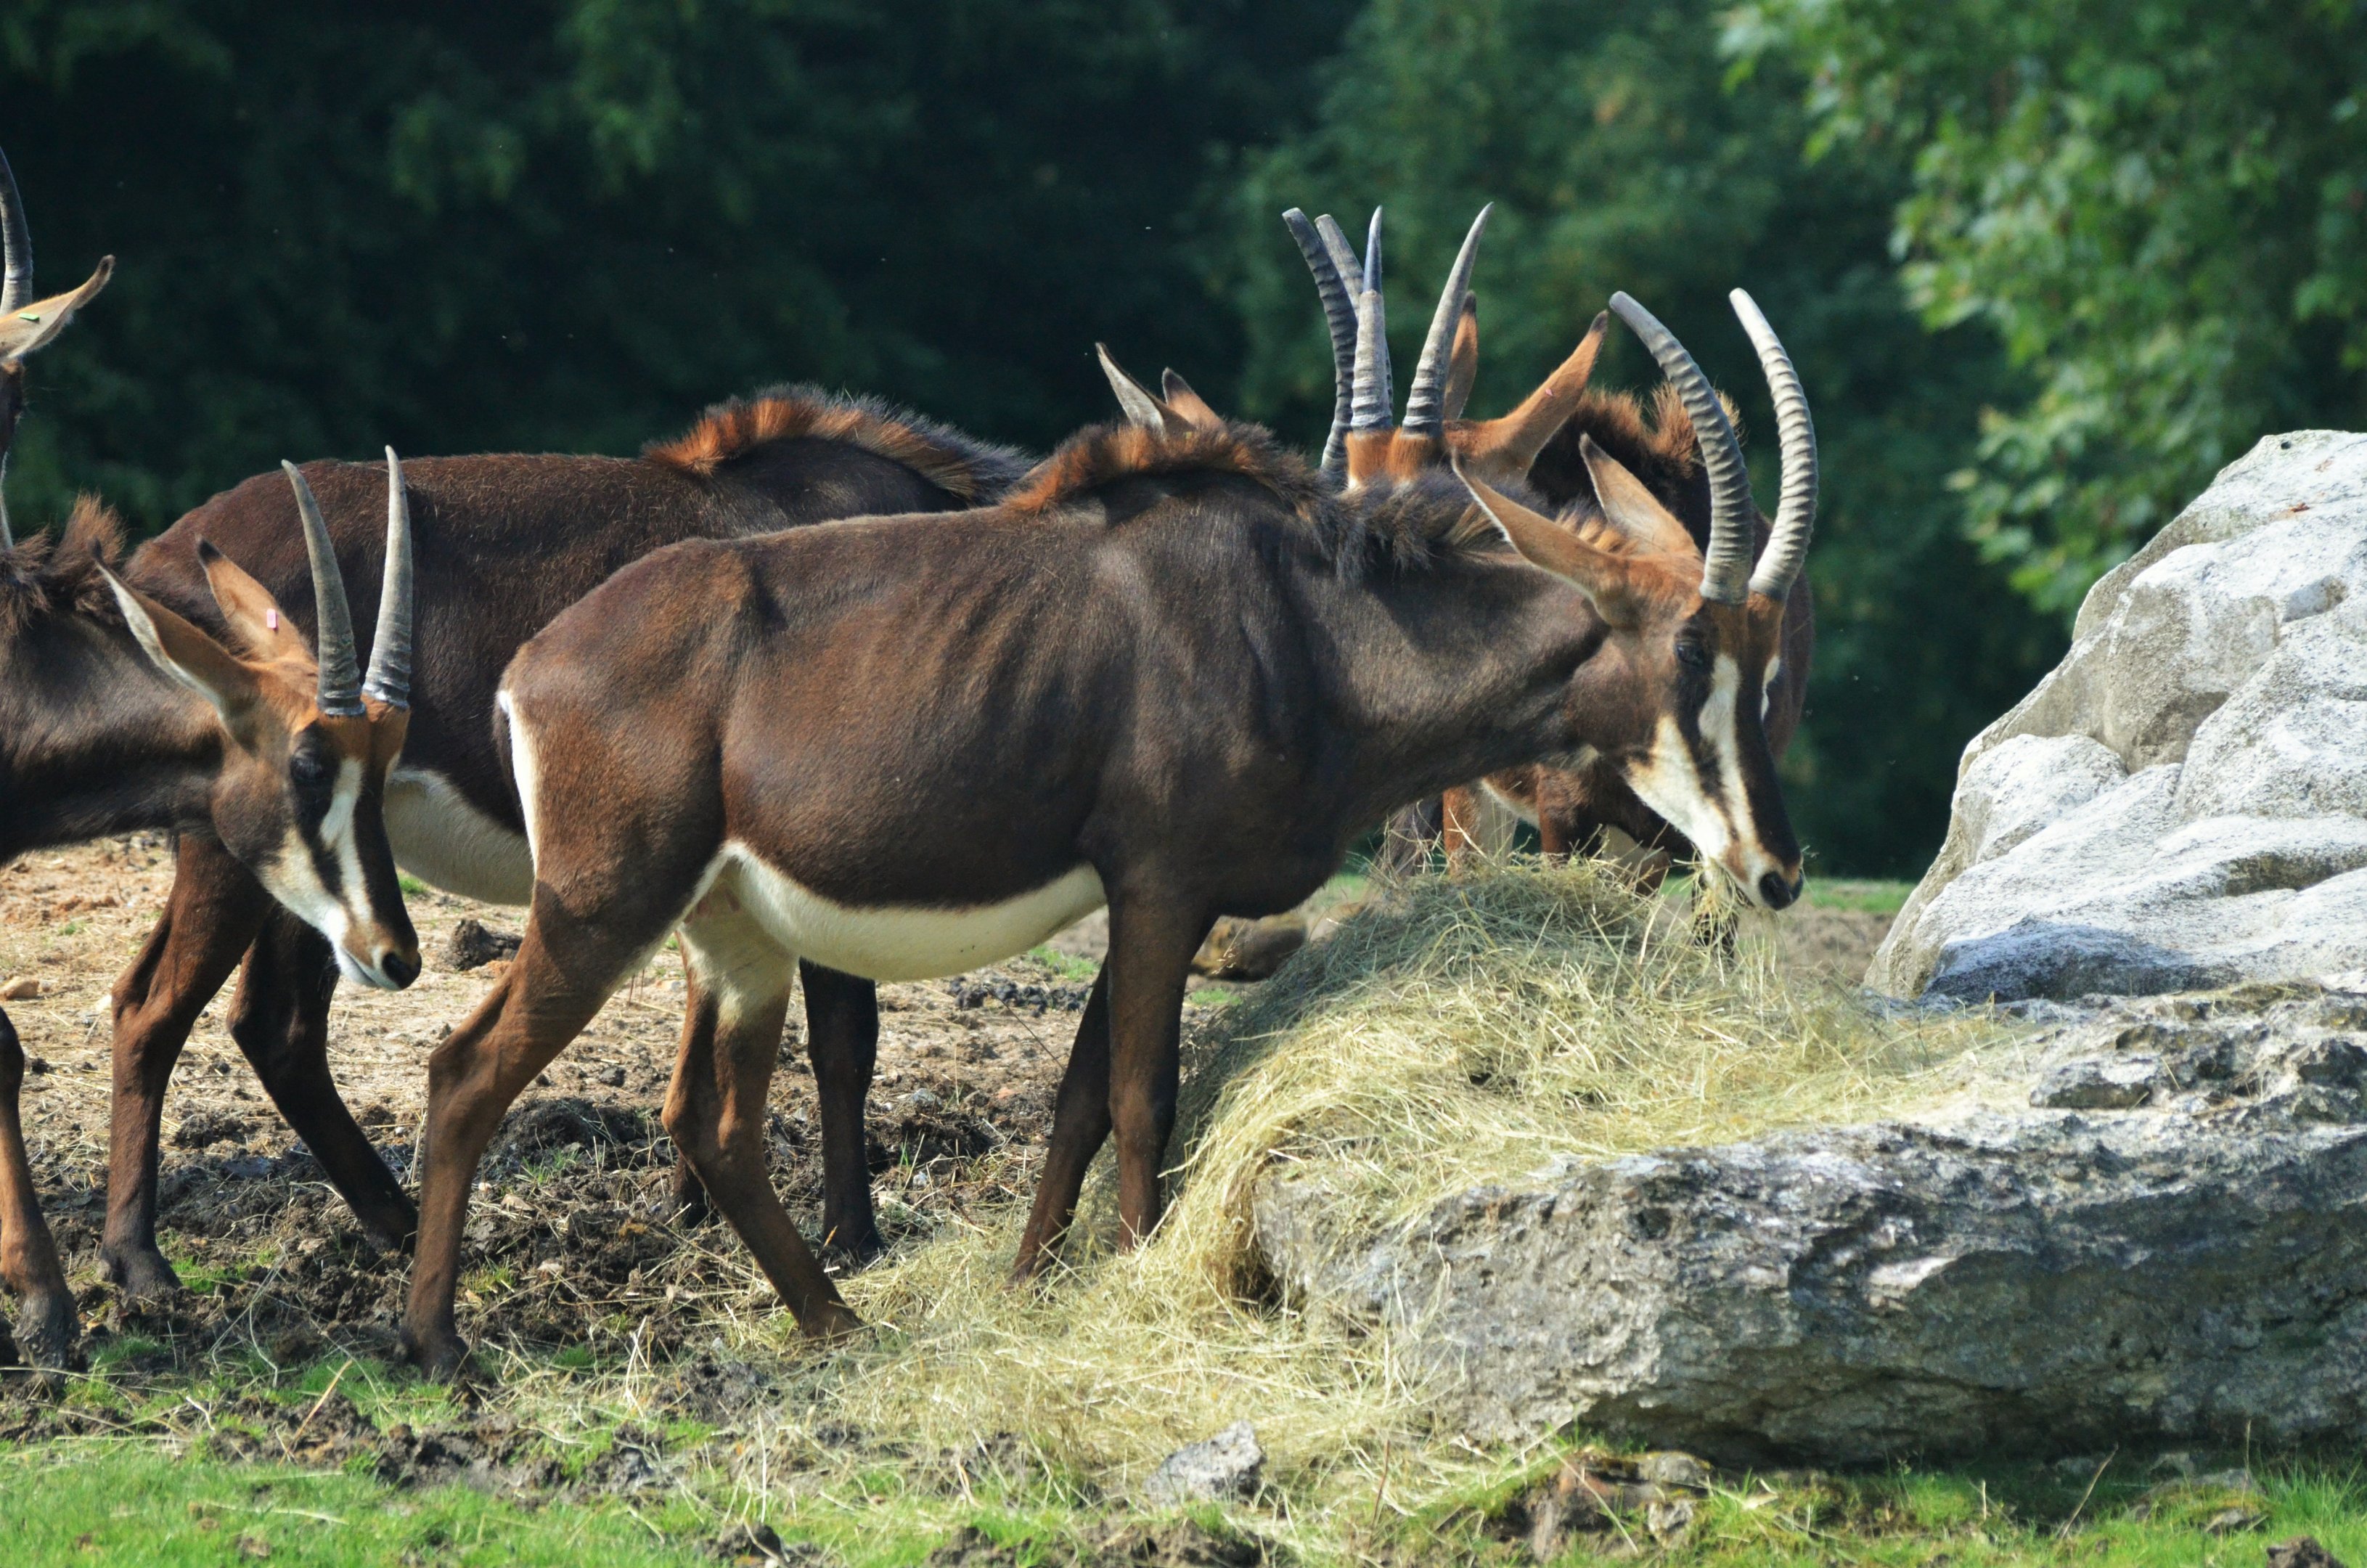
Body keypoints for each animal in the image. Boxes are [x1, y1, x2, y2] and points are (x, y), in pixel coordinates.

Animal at [84, 391, 1028, 1301]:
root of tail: (153, 567)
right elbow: (845, 1041)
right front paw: (851, 1238)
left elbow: (711, 1027)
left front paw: (691, 1210)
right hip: (244, 851)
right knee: (154, 1010)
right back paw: (141, 1261)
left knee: (269, 1024)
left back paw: (398, 1226)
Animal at [394, 256, 1812, 1377]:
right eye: (1691, 653)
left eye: (1768, 660)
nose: (1778, 872)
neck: (1310, 629)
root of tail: (538, 664)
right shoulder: (1163, 888)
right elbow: (1142, 1097)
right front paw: (1132, 1283)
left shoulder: (1140, 897)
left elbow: (1079, 1100)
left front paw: (1033, 1286)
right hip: (604, 903)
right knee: (467, 1070)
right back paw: (437, 1343)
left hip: (732, 933)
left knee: (714, 1122)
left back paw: (839, 1326)